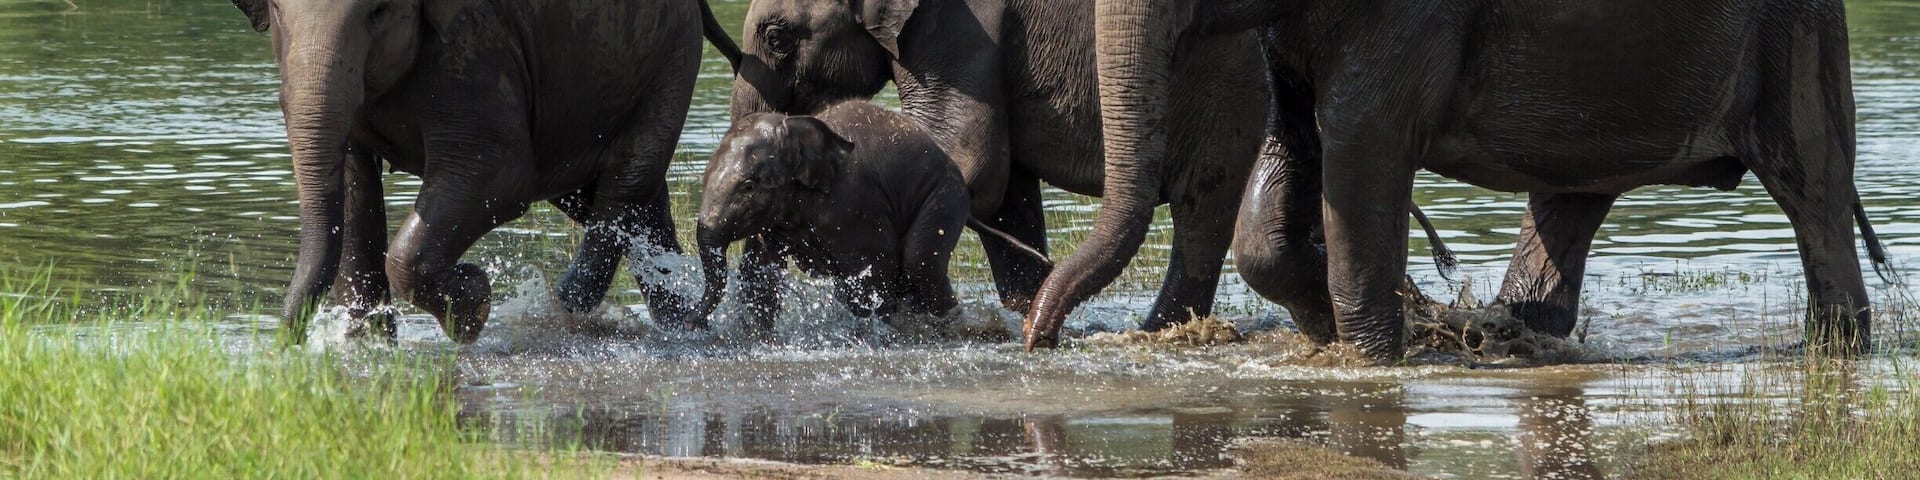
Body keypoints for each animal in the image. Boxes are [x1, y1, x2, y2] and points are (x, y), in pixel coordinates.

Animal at [232, 0, 741, 343]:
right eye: (276, 11)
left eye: (378, 11)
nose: (287, 344)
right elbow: (353, 187)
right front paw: (367, 347)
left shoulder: (474, 45)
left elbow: (501, 175)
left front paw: (473, 307)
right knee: (625, 199)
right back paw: (682, 324)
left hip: (669, 58)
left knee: (622, 184)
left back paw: (562, 312)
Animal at [684, 101, 995, 330]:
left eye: (748, 186)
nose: (689, 322)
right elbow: (760, 275)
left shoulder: (855, 205)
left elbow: (867, 281)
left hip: (943, 196)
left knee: (919, 265)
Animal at [1070, 0, 1884, 359]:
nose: (1043, 340)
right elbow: (1290, 147)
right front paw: (1340, 331)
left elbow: (1362, 148)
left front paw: (1372, 360)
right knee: (1569, 197)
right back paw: (1517, 333)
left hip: (1798, 40)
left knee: (1810, 188)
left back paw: (1835, 349)